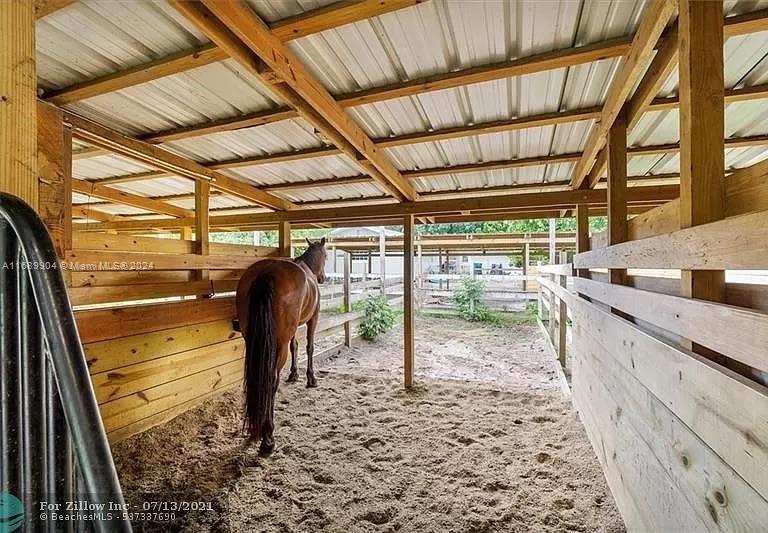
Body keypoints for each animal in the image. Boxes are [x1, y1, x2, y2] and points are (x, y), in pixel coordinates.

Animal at [237, 237, 328, 454]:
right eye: (326, 255)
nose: (323, 278)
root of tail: (266, 273)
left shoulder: (291, 333)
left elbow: (295, 346)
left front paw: (294, 374)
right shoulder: (313, 319)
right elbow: (309, 347)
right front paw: (311, 378)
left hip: (252, 340)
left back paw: (254, 431)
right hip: (278, 344)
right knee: (271, 380)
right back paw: (267, 437)